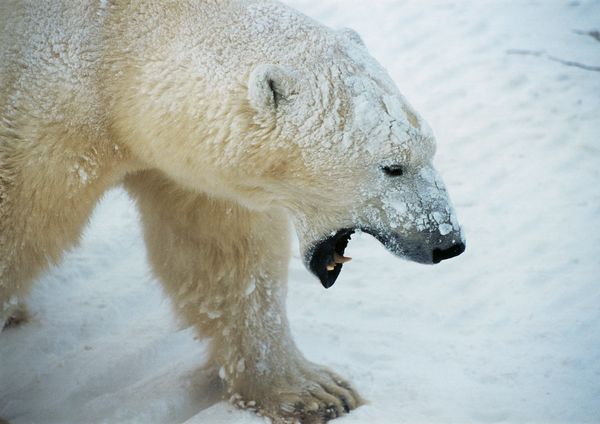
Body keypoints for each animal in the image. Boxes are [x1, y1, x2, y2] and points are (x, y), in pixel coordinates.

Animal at [0, 0, 464, 424]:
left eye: (431, 149)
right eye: (392, 166)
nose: (448, 242)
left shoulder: (191, 169)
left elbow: (223, 255)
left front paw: (316, 392)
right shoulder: (40, 127)